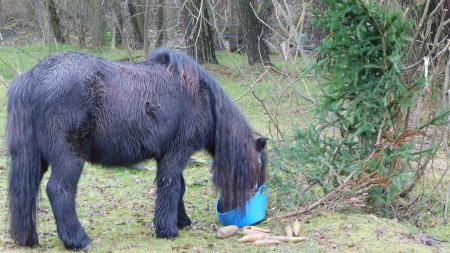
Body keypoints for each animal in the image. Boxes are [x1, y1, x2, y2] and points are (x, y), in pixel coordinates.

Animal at [6, 48, 268, 250]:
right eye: (257, 171)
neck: (202, 97)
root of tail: (33, 77)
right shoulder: (176, 154)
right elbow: (171, 187)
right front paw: (167, 230)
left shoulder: (169, 156)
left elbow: (179, 187)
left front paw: (181, 221)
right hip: (68, 158)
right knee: (59, 190)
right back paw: (78, 240)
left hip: (35, 160)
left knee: (26, 193)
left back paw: (29, 239)